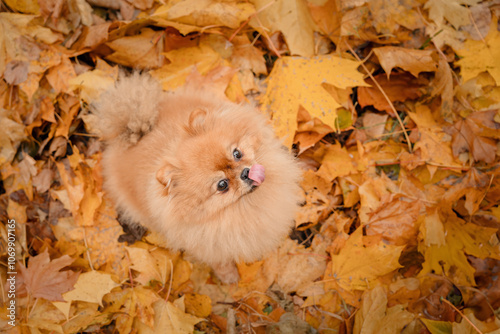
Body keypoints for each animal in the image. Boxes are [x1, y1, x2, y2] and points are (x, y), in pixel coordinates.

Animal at [90, 72, 300, 282]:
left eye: (237, 153)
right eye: (222, 185)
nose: (246, 172)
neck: (241, 208)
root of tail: (135, 133)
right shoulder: (210, 245)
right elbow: (221, 263)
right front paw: (230, 278)